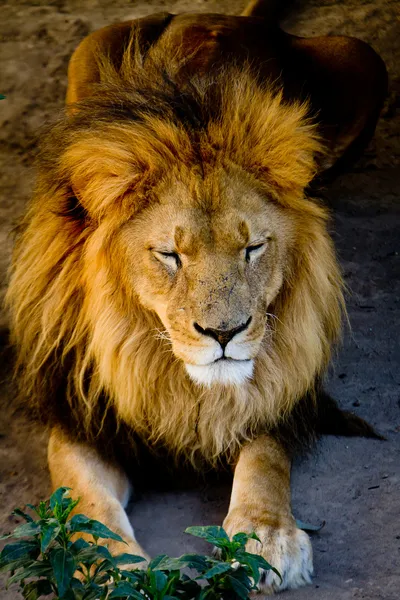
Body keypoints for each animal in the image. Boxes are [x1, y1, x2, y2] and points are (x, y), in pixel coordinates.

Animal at [6, 0, 388, 592]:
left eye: (253, 248)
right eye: (170, 255)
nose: (224, 334)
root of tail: (230, 15)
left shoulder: (283, 384)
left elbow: (265, 456)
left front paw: (267, 535)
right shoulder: (82, 413)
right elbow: (87, 503)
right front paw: (112, 568)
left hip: (364, 58)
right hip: (87, 52)